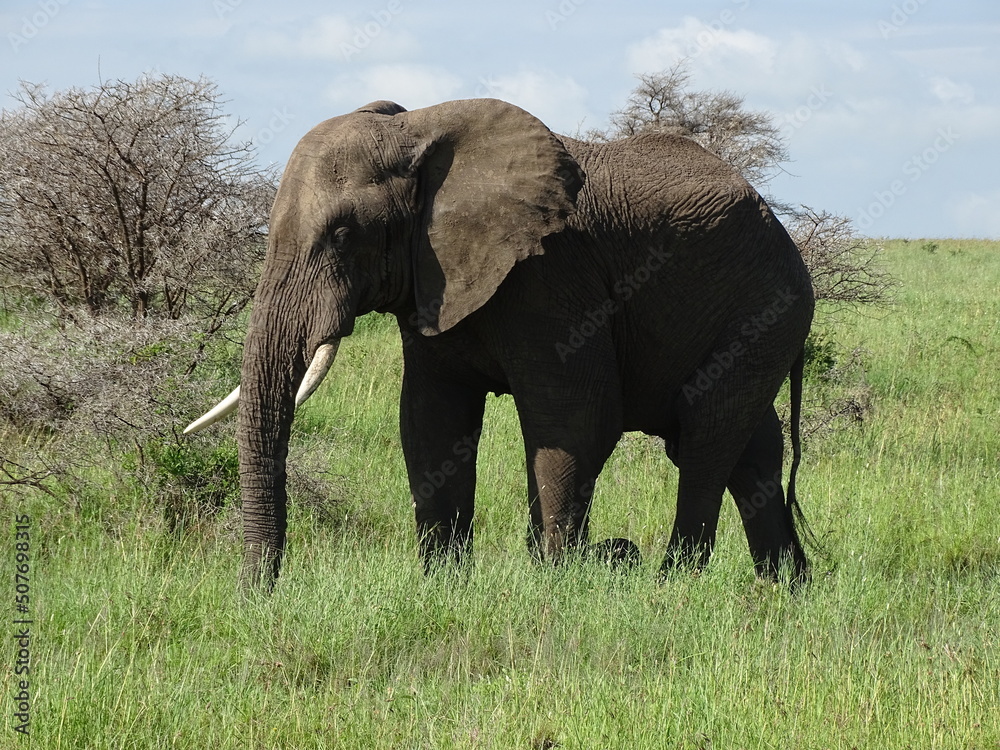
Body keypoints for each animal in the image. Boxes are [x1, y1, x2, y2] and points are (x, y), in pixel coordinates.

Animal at [185, 97, 814, 593]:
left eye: (342, 235)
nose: (256, 595)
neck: (417, 130)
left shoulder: (552, 276)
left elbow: (576, 418)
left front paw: (558, 581)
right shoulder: (432, 282)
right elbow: (431, 420)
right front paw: (444, 584)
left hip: (766, 309)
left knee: (707, 437)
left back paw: (672, 584)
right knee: (753, 449)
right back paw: (788, 589)